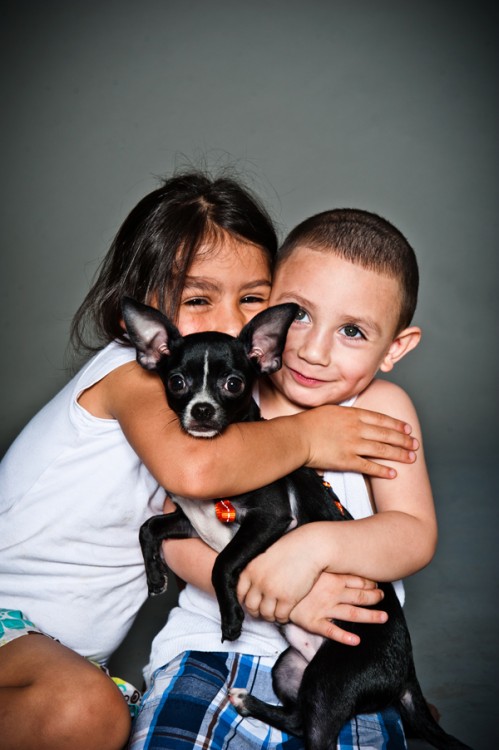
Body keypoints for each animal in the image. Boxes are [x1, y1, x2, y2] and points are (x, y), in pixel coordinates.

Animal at [122, 298, 472, 750]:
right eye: (177, 382)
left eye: (233, 384)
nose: (201, 409)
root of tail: (407, 673)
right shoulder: (190, 518)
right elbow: (149, 526)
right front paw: (155, 577)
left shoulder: (269, 518)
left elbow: (222, 564)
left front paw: (230, 619)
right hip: (291, 669)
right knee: (295, 718)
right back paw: (248, 702)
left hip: (330, 680)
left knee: (314, 732)